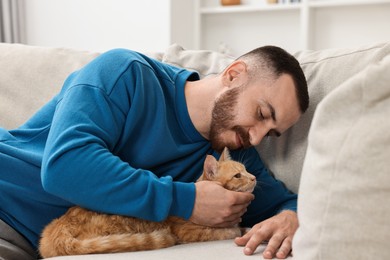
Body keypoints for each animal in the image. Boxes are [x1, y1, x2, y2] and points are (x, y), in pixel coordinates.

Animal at [39, 148, 258, 258]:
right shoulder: (190, 233)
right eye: (238, 176)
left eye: (246, 169)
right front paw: (238, 230)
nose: (254, 177)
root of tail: (56, 230)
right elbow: (227, 232)